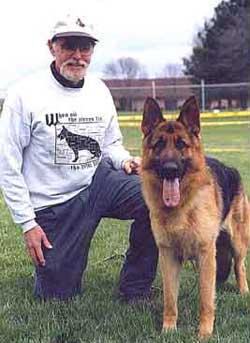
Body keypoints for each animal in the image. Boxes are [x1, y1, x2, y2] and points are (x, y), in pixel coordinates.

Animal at [141, 95, 248, 340]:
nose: (170, 169)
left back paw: (243, 291)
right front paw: (168, 329)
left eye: (181, 144)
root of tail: (232, 169)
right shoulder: (168, 256)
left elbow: (205, 299)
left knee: (240, 267)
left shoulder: (205, 253)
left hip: (237, 243)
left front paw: (204, 332)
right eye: (159, 144)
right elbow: (170, 299)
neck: (182, 207)